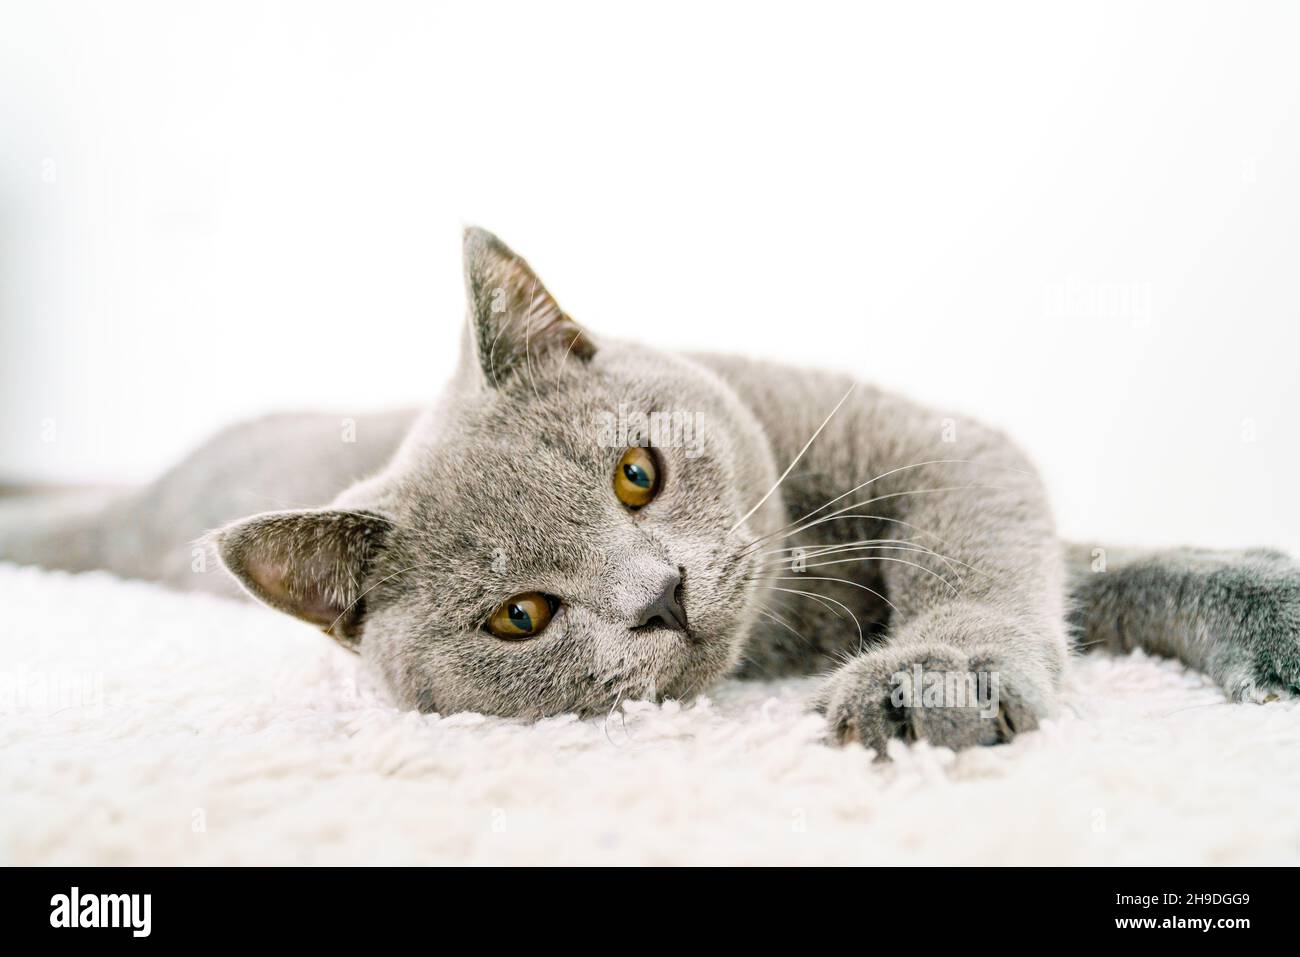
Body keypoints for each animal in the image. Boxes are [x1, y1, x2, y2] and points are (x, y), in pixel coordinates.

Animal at [2, 227, 1300, 748]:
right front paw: (935, 682)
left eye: (639, 475)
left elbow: (1019, 553)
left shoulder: (932, 448)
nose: (660, 592)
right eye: (520, 616)